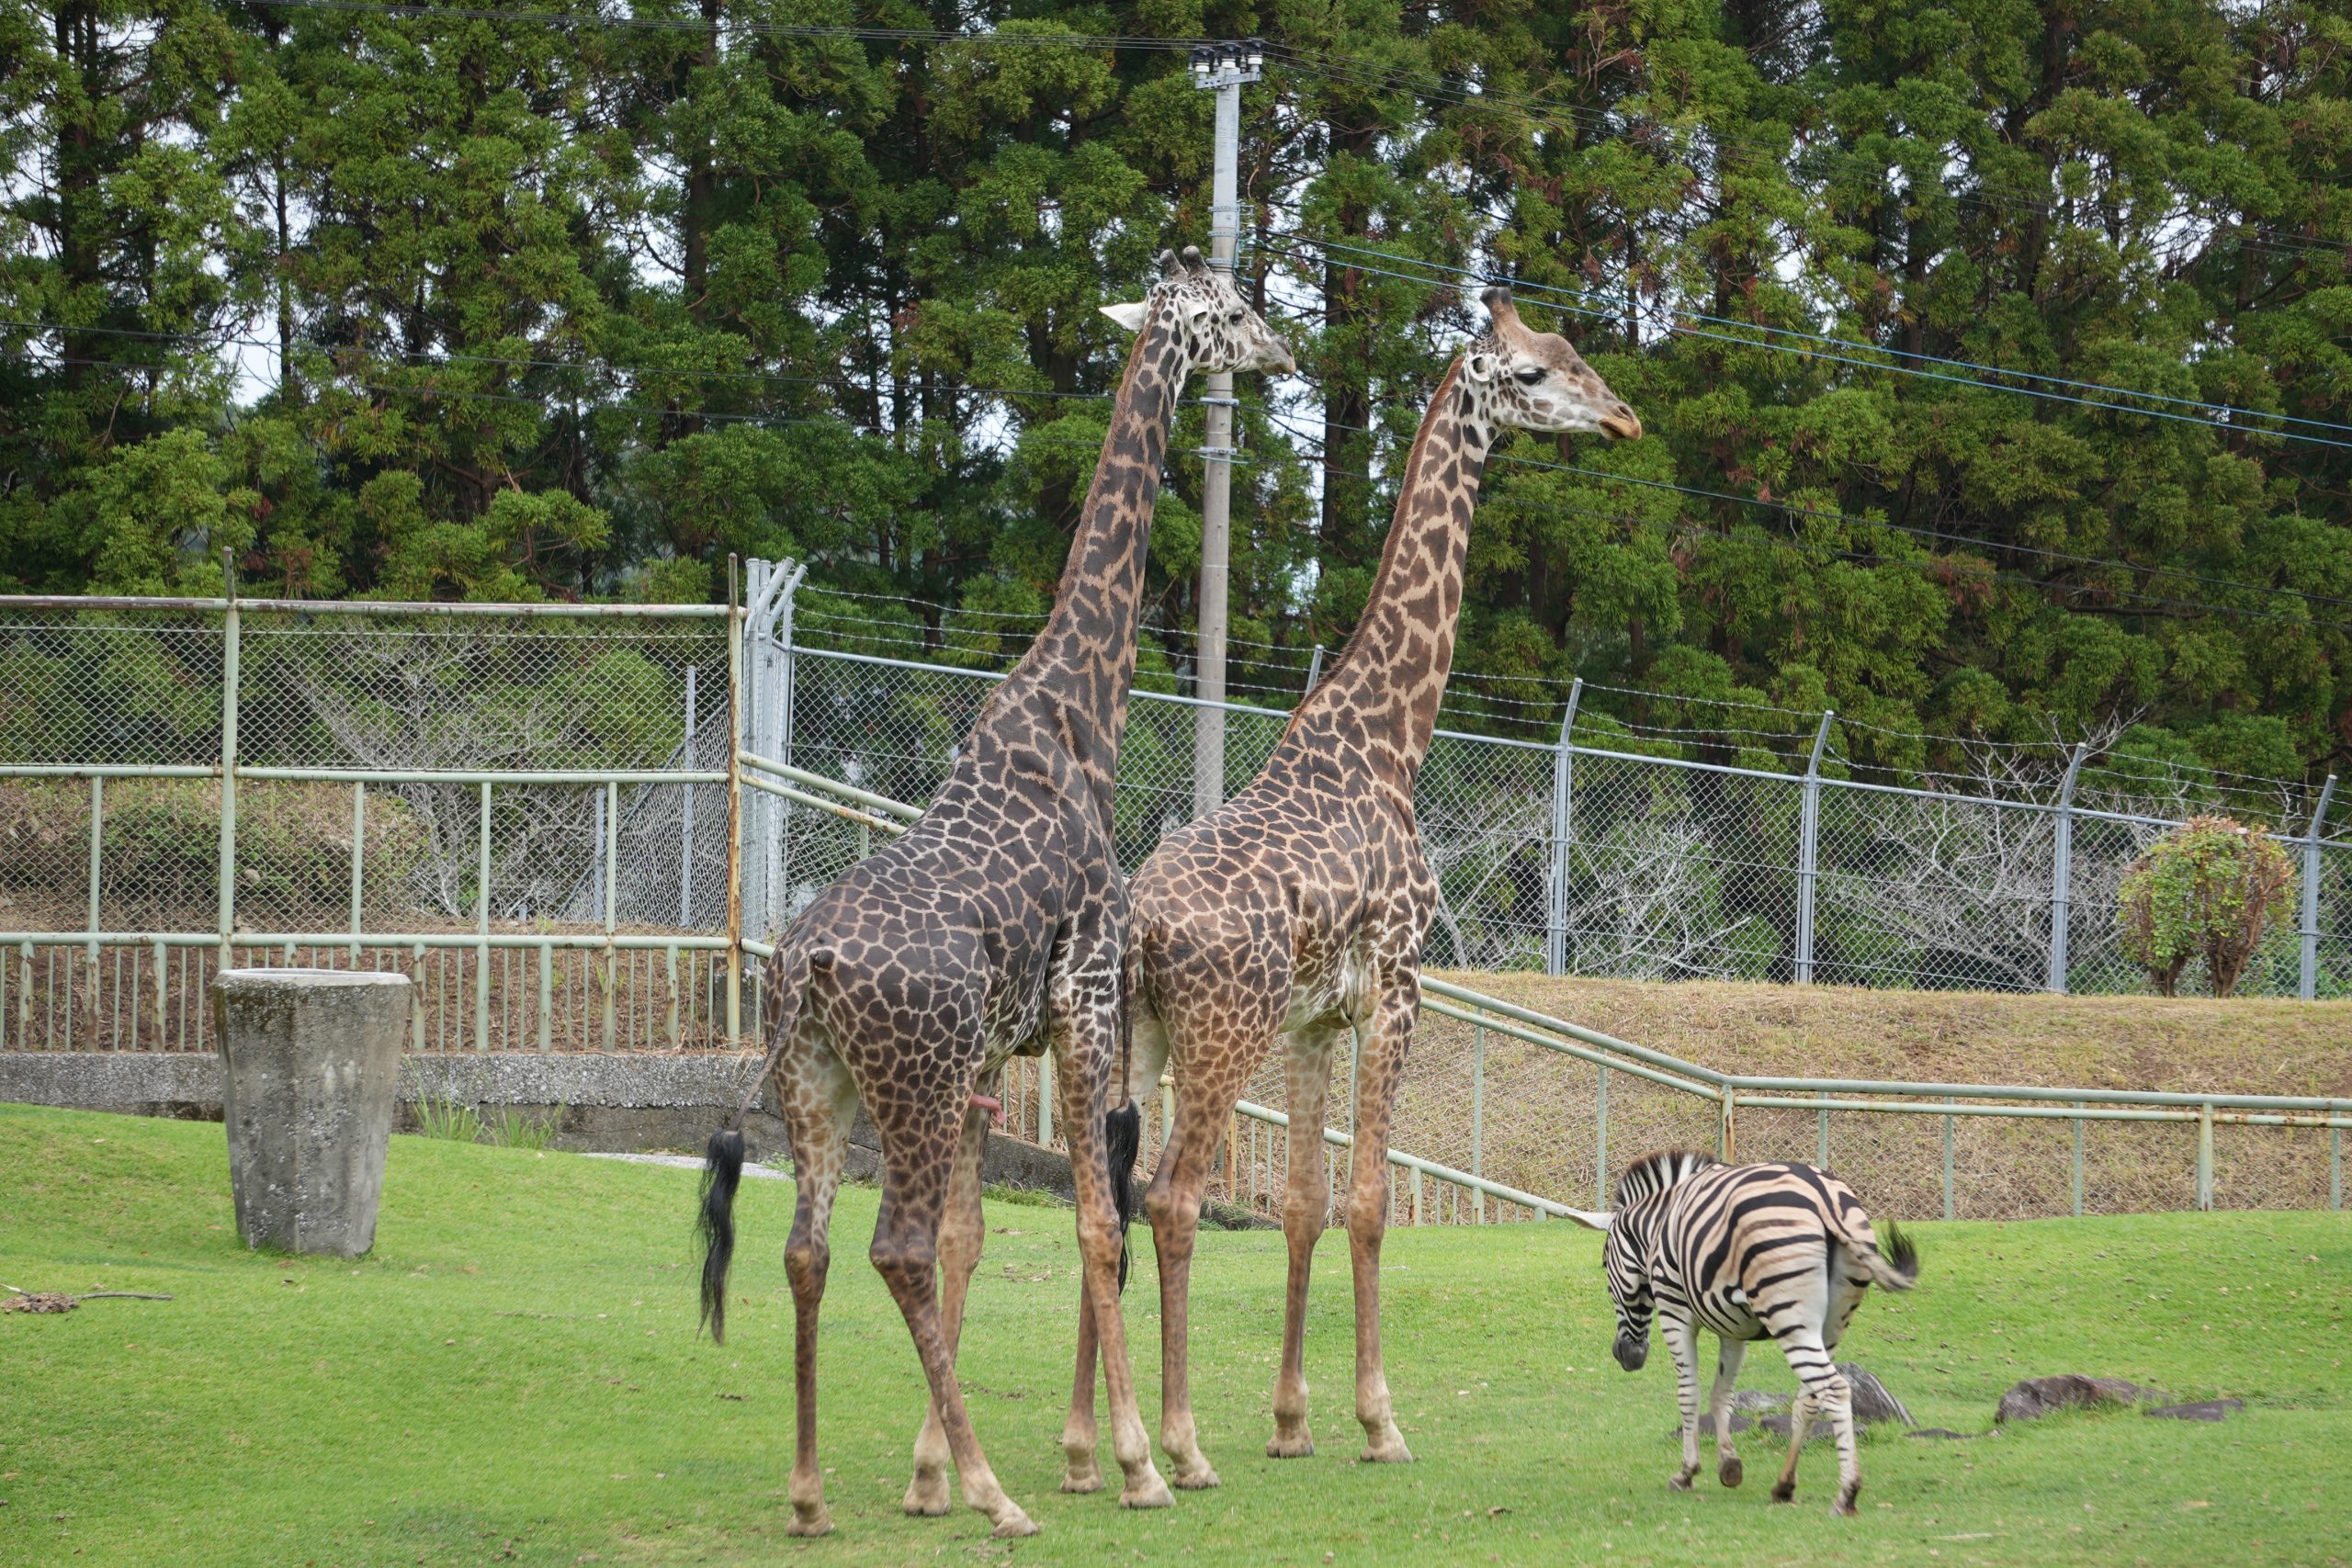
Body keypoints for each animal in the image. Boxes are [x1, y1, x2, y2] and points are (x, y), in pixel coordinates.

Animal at [686, 251, 1298, 1541]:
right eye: (1229, 307)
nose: (1280, 348)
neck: (1079, 710)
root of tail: (805, 968)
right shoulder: (1083, 999)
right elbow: (1093, 1219)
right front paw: (1132, 1462)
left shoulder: (991, 1054)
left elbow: (981, 1237)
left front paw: (929, 1472)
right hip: (908, 1080)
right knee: (894, 1248)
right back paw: (997, 1495)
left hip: (818, 1083)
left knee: (809, 1250)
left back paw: (813, 1496)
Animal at [1063, 288, 1636, 1495]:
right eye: (1532, 373)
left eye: (1573, 354)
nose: (1621, 417)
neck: (1391, 740)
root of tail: (1139, 931)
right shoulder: (1399, 990)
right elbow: (1369, 1204)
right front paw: (1379, 1421)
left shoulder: (1317, 1019)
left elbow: (1303, 1204)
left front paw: (1292, 1420)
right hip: (1219, 1035)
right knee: (1172, 1197)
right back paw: (1178, 1446)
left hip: (1132, 1035)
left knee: (1109, 1192)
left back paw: (1090, 1448)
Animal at [1561, 1146, 1909, 1514]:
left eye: (1604, 1264)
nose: (1624, 1356)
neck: (1657, 1228)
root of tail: (1824, 1196)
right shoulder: (1734, 1328)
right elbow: (1721, 1396)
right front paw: (1728, 1465)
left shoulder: (1674, 1310)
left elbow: (1689, 1394)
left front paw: (1686, 1473)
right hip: (1831, 1325)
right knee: (1808, 1400)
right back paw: (1784, 1485)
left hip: (1790, 1317)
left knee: (1835, 1389)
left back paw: (1846, 1494)